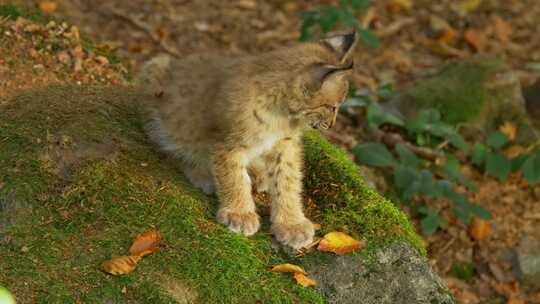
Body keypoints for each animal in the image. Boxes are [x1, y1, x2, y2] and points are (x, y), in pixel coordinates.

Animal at [138, 31, 358, 249]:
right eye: (332, 107)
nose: (332, 125)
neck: (282, 116)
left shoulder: (285, 145)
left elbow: (287, 180)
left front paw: (291, 224)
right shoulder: (229, 143)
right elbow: (234, 177)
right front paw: (240, 214)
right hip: (155, 76)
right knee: (167, 141)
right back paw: (201, 172)